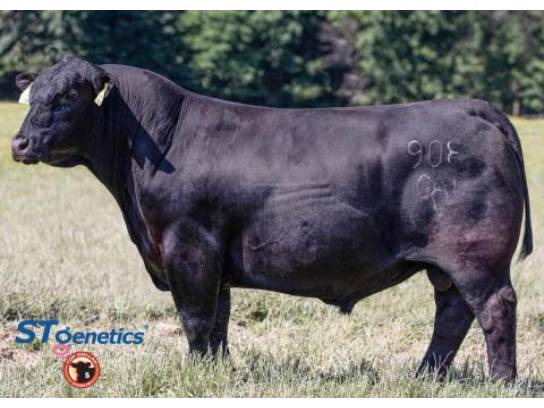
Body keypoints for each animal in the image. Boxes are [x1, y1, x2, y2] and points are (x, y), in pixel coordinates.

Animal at [11, 55, 532, 382]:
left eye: (67, 97)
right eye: (33, 97)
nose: (18, 143)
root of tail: (471, 107)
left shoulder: (187, 246)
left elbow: (195, 318)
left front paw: (196, 375)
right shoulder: (211, 258)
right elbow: (218, 320)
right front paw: (216, 373)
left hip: (476, 258)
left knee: (494, 308)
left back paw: (500, 382)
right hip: (448, 265)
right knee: (452, 314)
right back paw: (425, 377)